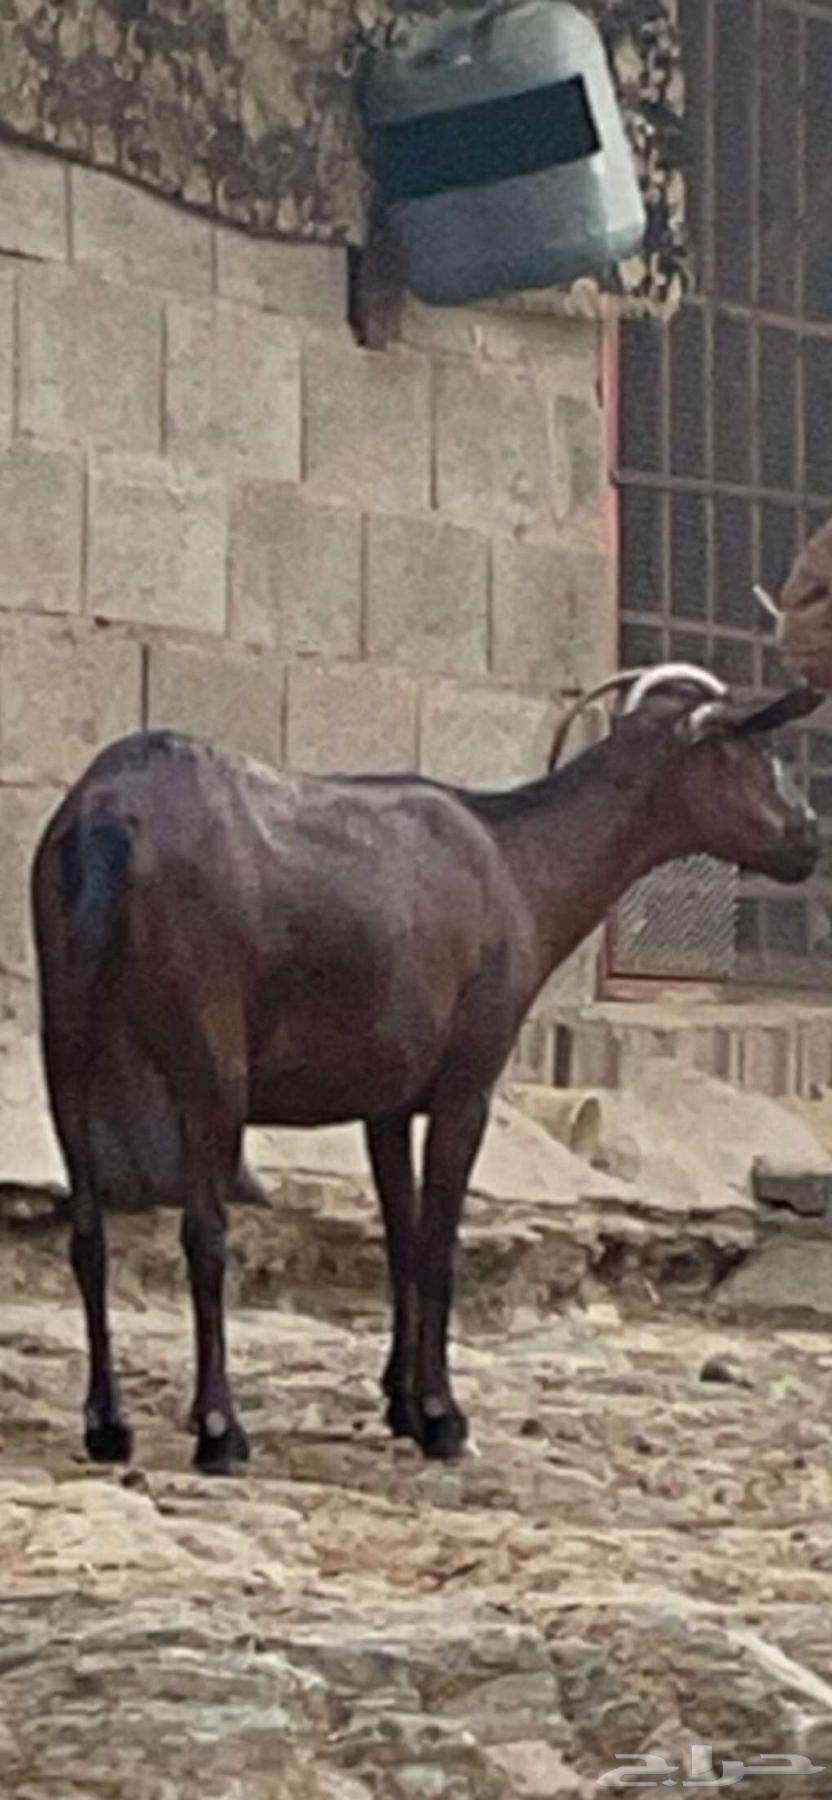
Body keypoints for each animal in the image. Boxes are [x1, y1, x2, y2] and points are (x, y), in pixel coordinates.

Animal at [31, 664, 823, 1473]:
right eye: (750, 748)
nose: (808, 835)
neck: (519, 864)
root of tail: (106, 819)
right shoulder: (465, 1083)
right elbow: (440, 1242)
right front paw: (443, 1416)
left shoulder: (384, 1099)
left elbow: (402, 1239)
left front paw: (401, 1402)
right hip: (207, 1057)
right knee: (205, 1233)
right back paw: (221, 1430)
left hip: (67, 1046)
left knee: (88, 1230)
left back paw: (107, 1424)